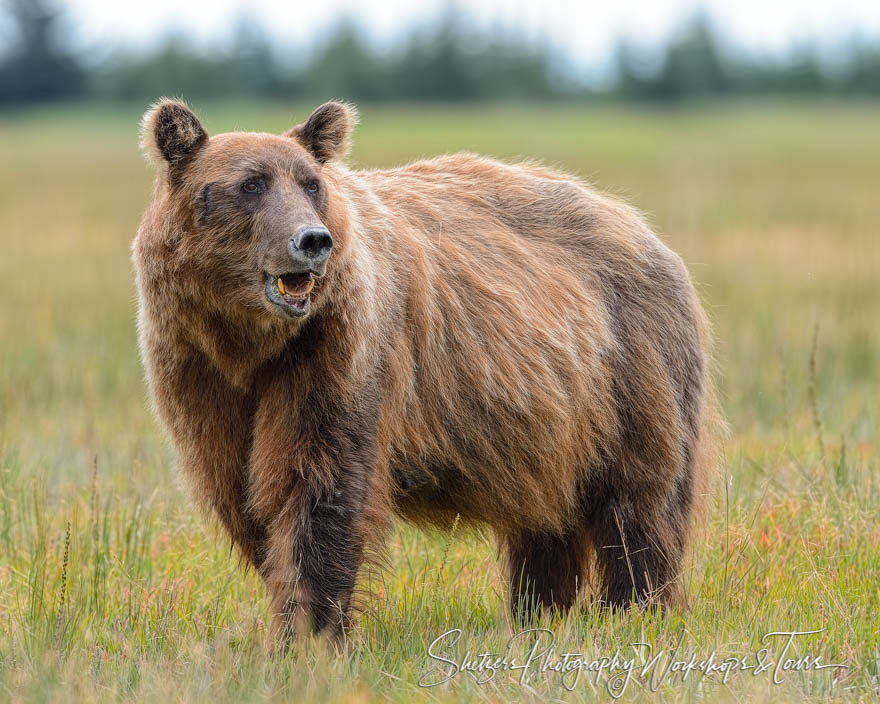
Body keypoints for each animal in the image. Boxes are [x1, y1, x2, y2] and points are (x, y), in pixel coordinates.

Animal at [136, 99, 716, 648]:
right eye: (251, 184)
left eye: (310, 183)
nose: (312, 240)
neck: (249, 341)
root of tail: (639, 224)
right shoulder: (197, 371)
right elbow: (244, 488)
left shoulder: (337, 350)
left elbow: (319, 482)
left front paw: (306, 633)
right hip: (553, 418)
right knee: (547, 518)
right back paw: (537, 613)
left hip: (632, 368)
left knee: (639, 504)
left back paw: (633, 610)